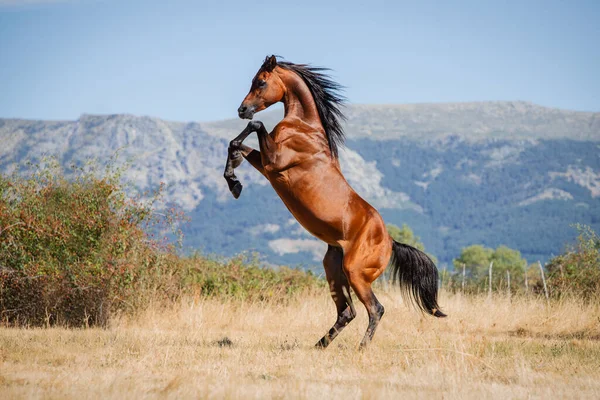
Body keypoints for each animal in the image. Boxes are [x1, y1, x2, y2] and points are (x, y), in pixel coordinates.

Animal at [225, 54, 446, 348]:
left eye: (261, 81)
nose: (242, 109)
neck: (304, 128)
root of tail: (390, 241)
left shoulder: (275, 162)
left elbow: (255, 126)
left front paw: (234, 179)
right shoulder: (268, 166)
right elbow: (236, 144)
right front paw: (234, 182)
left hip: (355, 272)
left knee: (375, 309)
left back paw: (360, 348)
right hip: (334, 268)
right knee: (347, 312)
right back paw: (319, 345)